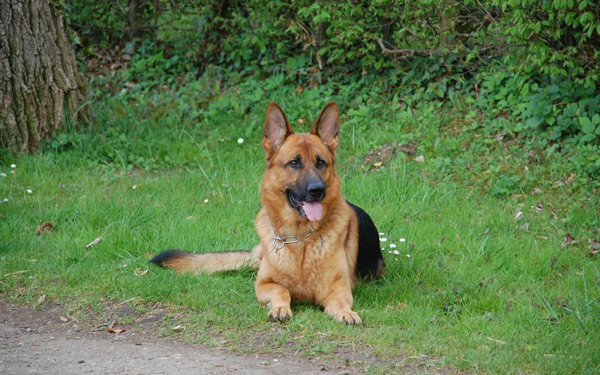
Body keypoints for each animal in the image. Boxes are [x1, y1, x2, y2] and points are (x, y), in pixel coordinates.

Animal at [149, 103, 384, 326]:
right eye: (294, 162)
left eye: (321, 162)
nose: (317, 190)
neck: (299, 239)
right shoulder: (263, 284)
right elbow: (282, 290)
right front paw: (280, 308)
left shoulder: (339, 289)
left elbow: (340, 302)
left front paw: (346, 313)